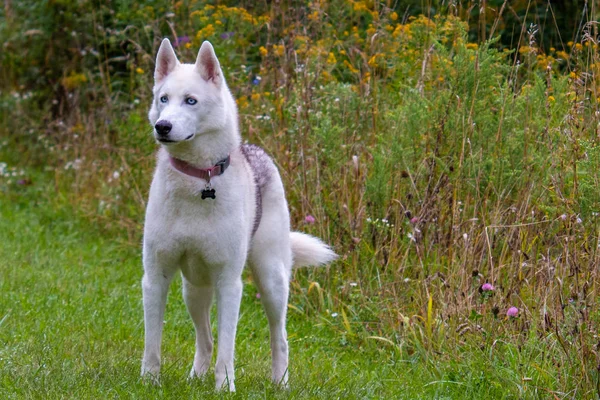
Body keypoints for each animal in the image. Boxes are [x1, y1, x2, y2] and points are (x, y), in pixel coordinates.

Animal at [141, 39, 338, 390]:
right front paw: (149, 382)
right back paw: (196, 377)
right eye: (163, 98)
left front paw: (224, 388)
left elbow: (227, 349)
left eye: (190, 100)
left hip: (271, 283)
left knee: (279, 338)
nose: (162, 126)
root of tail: (255, 151)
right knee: (205, 339)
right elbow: (153, 343)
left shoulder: (229, 283)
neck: (199, 179)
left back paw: (280, 384)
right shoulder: (155, 276)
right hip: (194, 290)